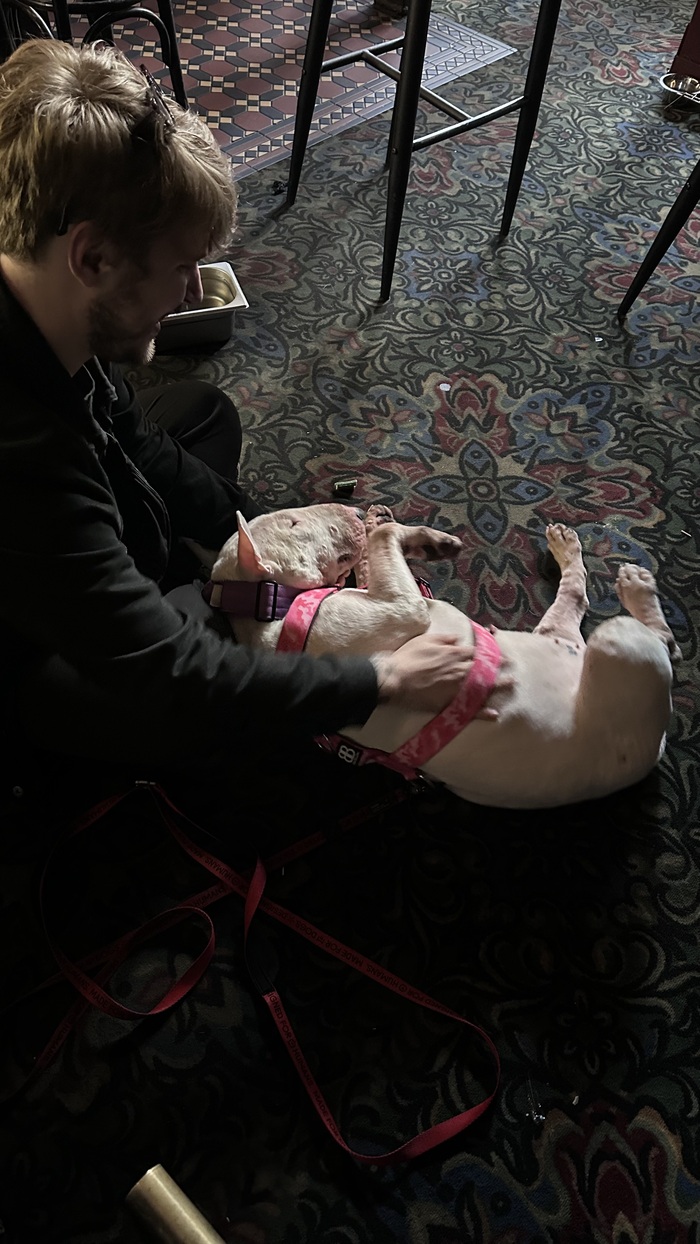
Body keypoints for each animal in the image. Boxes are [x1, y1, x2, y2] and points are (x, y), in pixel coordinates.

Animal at [194, 504, 677, 809]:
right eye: (293, 521)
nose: (355, 511)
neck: (269, 607)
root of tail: (654, 750)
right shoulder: (399, 609)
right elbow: (384, 544)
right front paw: (409, 534)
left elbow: (376, 550)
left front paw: (407, 534)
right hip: (619, 650)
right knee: (660, 640)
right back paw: (637, 590)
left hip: (560, 636)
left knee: (575, 597)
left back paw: (568, 548)